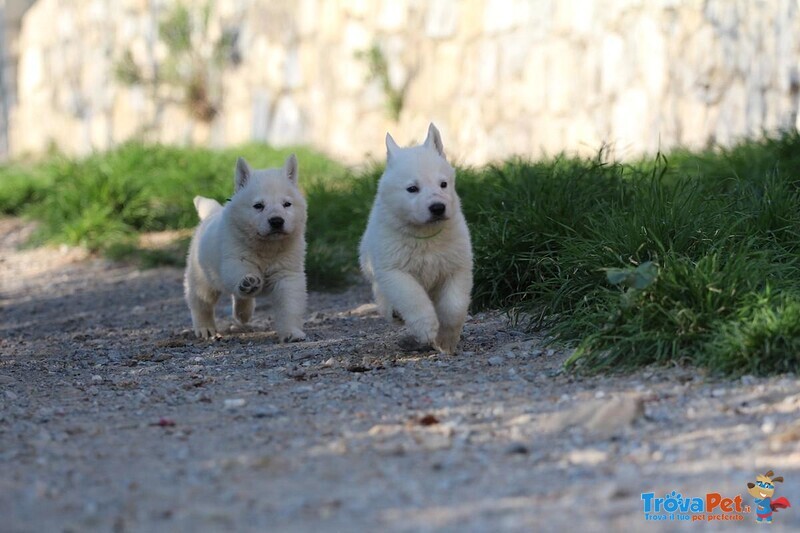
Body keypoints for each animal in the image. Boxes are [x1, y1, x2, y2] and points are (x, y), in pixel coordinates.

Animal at [184, 154, 306, 340]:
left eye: (287, 204)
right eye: (258, 206)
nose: (277, 221)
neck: (267, 247)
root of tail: (211, 214)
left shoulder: (288, 274)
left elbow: (289, 306)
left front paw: (292, 332)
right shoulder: (234, 260)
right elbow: (242, 272)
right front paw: (249, 281)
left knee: (240, 297)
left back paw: (243, 313)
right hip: (201, 278)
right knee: (201, 303)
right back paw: (205, 328)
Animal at [358, 121, 476, 354]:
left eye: (443, 184)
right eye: (412, 189)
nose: (438, 208)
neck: (426, 235)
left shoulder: (457, 267)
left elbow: (454, 306)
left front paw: (446, 340)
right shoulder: (394, 271)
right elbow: (413, 298)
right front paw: (426, 329)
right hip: (374, 271)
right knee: (384, 297)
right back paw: (395, 313)